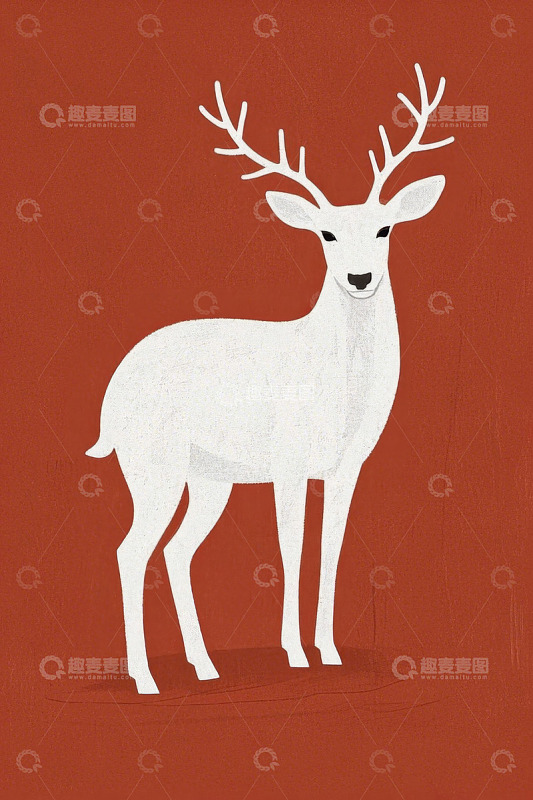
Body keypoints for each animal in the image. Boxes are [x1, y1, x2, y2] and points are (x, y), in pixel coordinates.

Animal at [86, 64, 454, 694]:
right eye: (326, 235)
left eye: (384, 228)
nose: (360, 278)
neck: (339, 389)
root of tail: (112, 396)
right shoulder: (289, 462)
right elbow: (291, 551)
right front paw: (296, 654)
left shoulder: (346, 467)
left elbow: (331, 551)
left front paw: (329, 651)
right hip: (153, 466)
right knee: (130, 551)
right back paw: (146, 678)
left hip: (210, 479)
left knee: (176, 551)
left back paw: (204, 666)